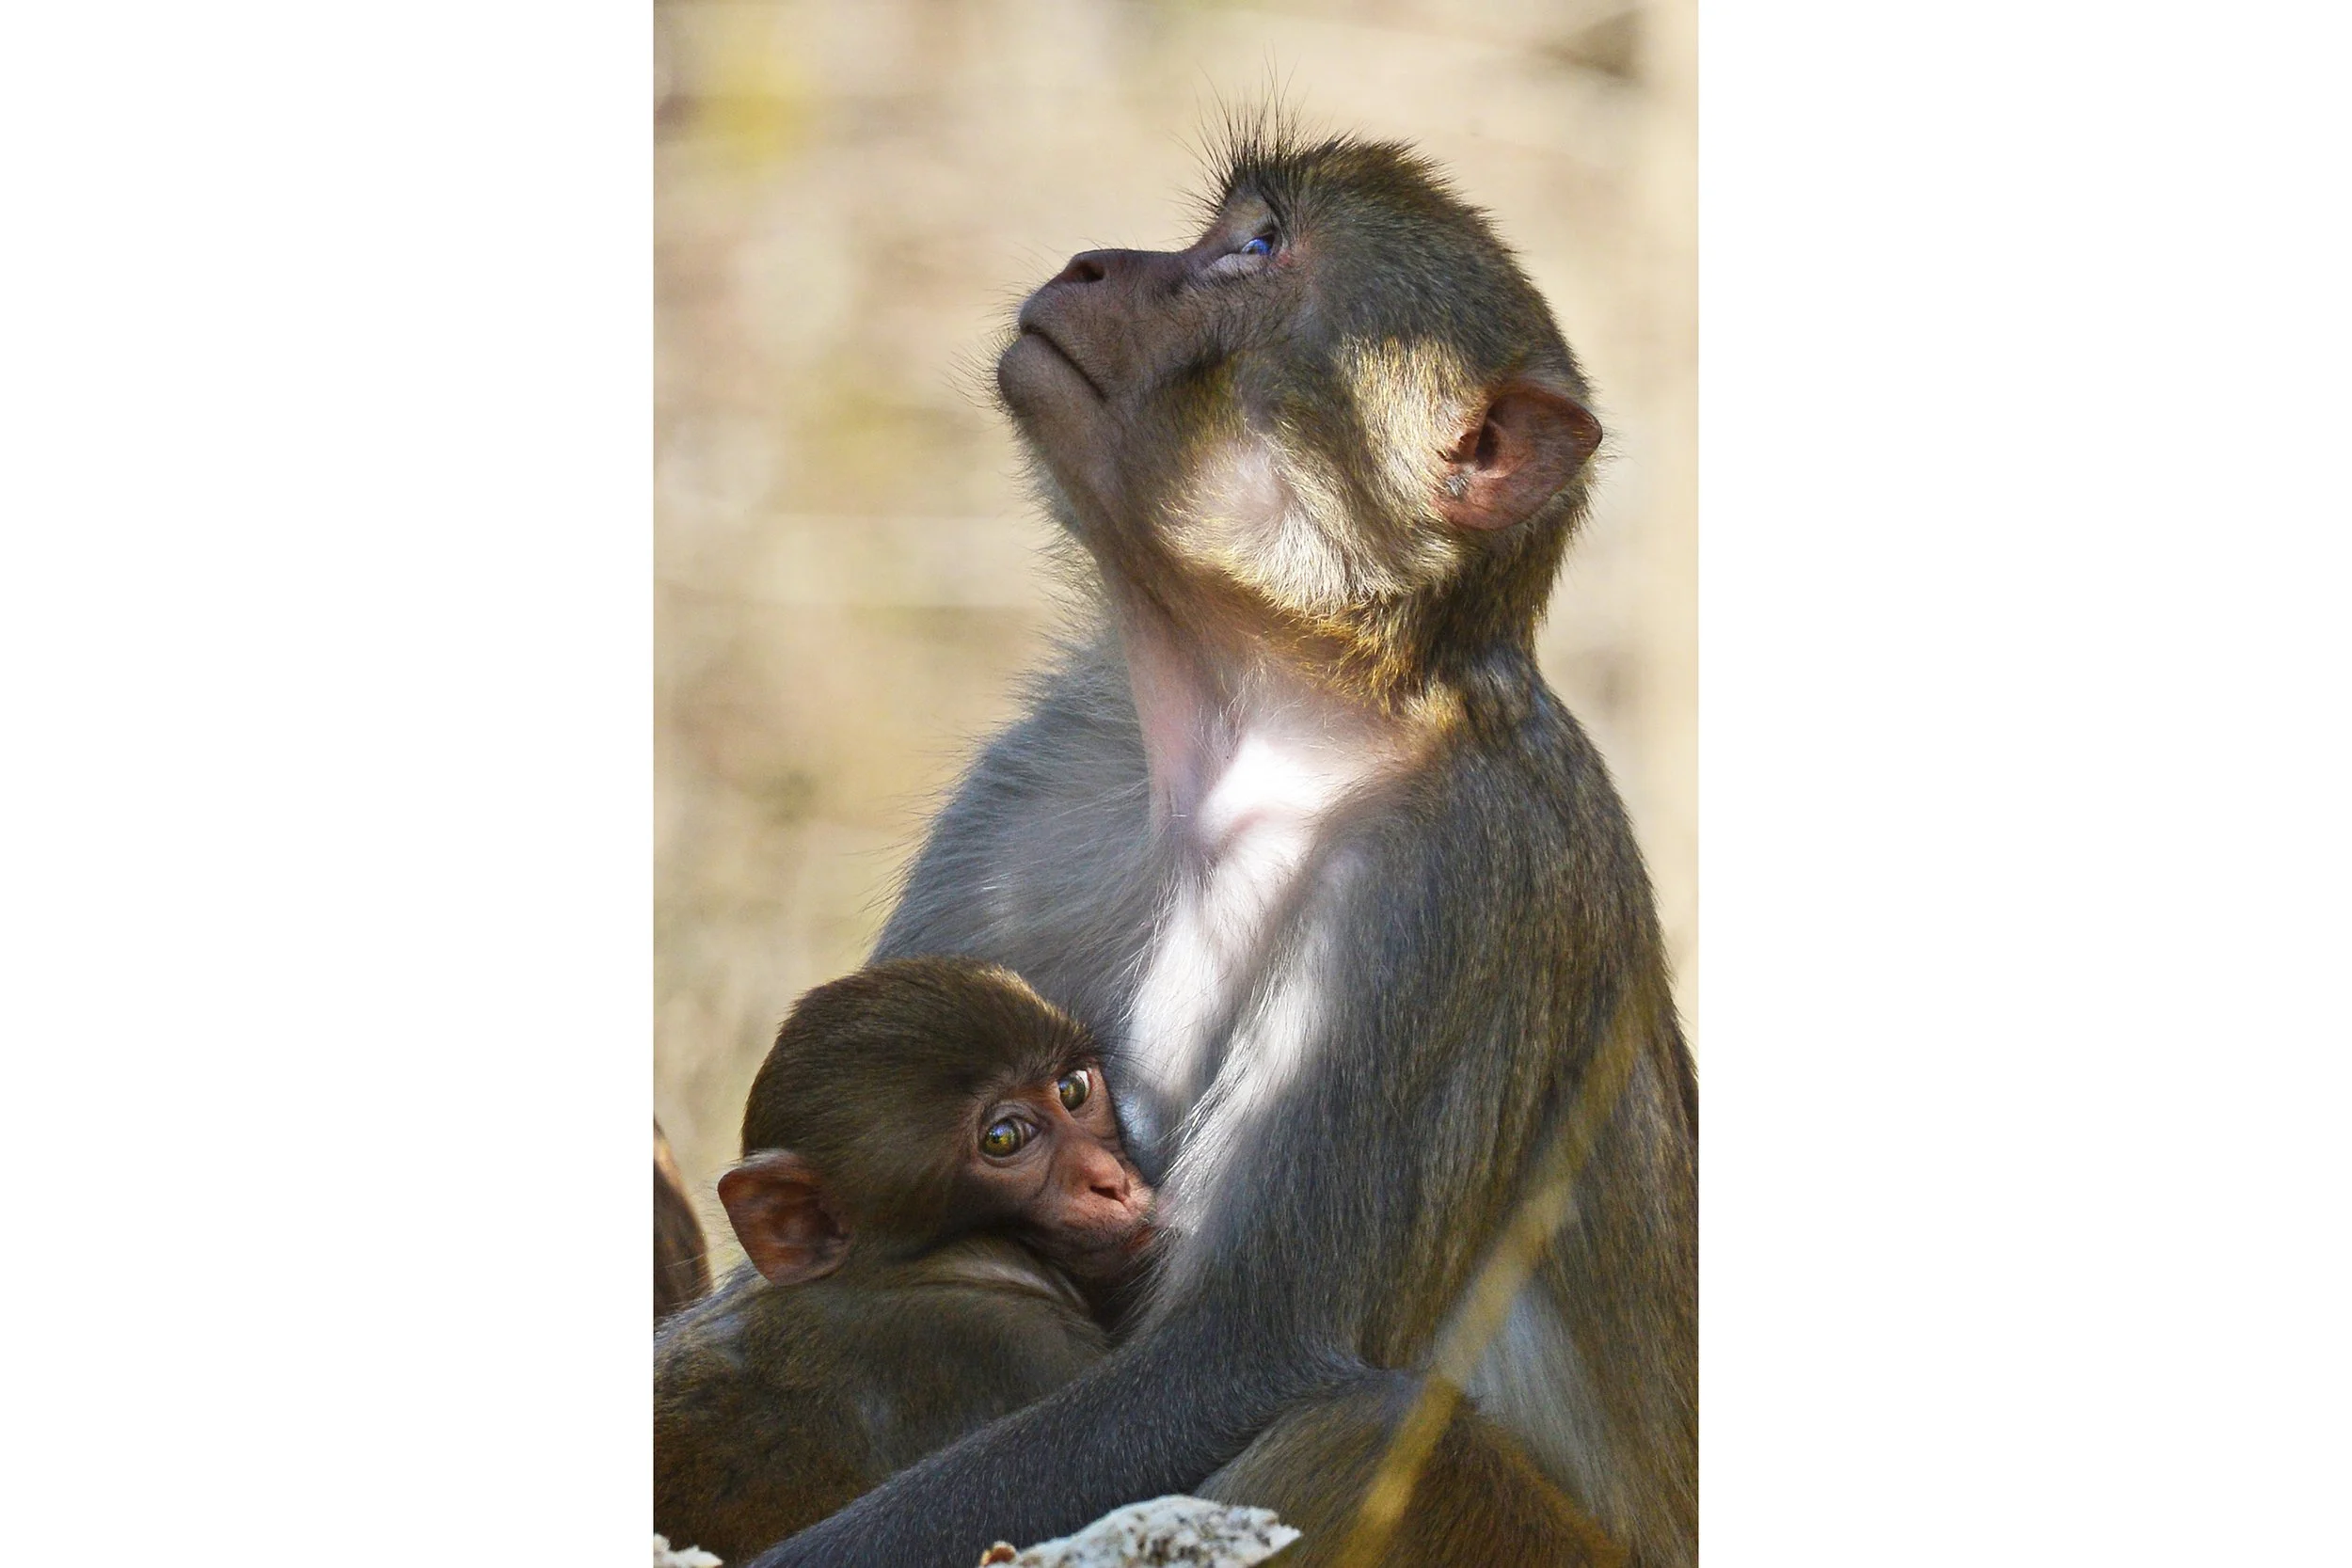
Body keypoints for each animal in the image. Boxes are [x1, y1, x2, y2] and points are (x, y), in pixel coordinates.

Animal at [747, 122, 1695, 1568]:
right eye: (1222, 230)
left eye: (1255, 250)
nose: (1094, 260)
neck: (1270, 717)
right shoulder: (1043, 778)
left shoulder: (1447, 882)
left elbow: (1245, 1354)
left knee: (1360, 1431)